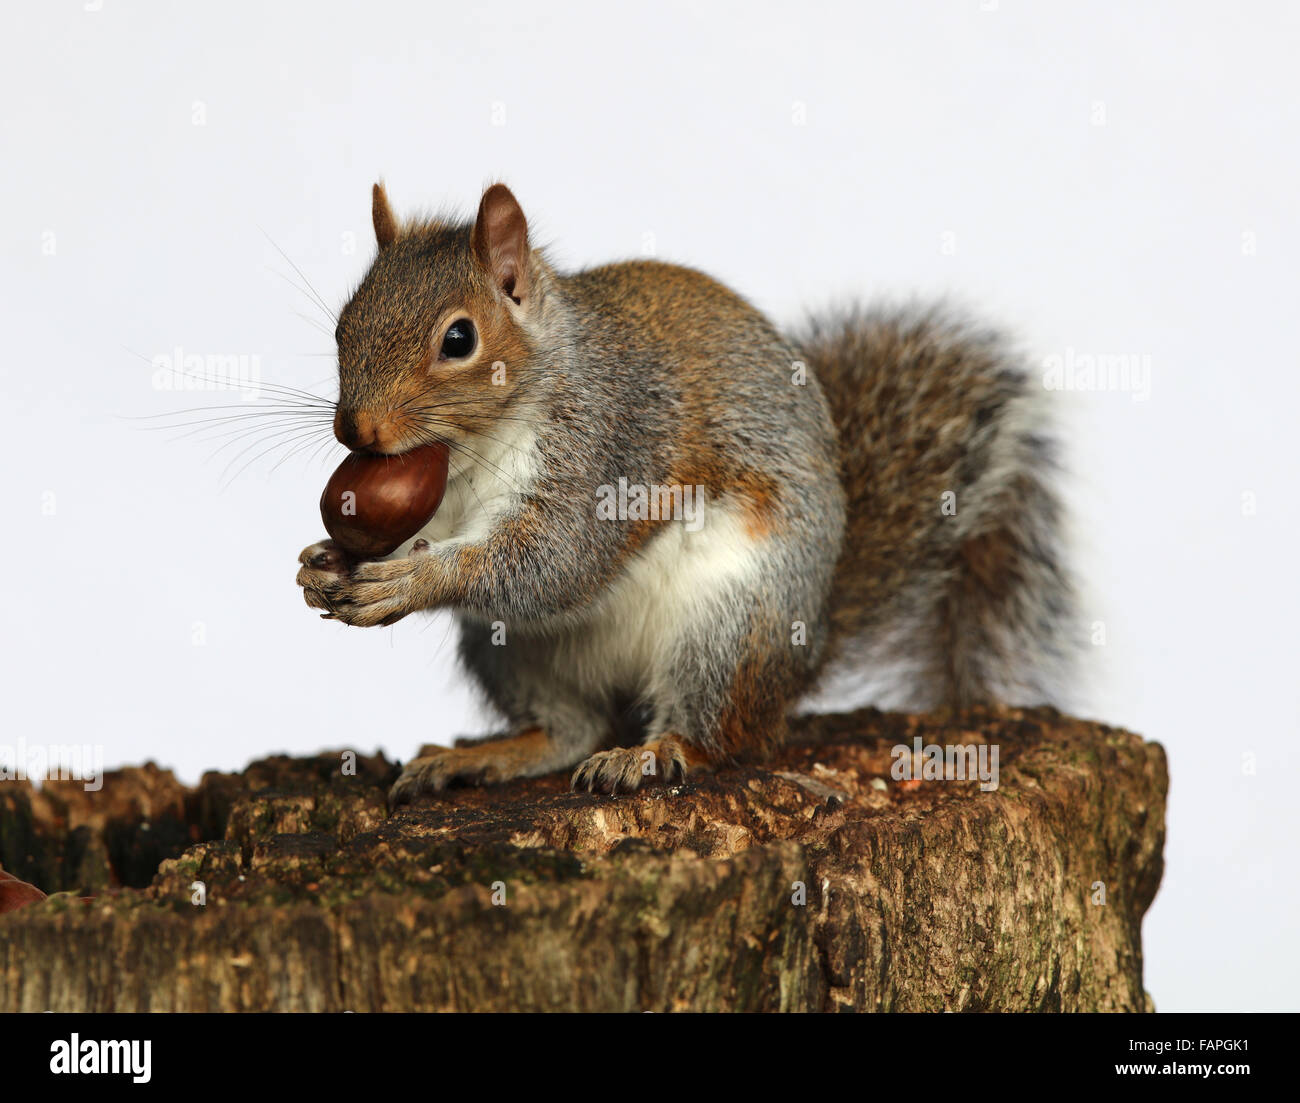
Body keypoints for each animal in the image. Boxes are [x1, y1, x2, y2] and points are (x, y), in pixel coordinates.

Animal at [297, 178, 1076, 801]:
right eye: (343, 325)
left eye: (459, 339)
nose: (355, 428)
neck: (470, 450)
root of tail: (808, 652)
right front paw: (322, 565)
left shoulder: (612, 448)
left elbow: (557, 560)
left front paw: (414, 580)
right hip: (509, 651)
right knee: (572, 729)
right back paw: (491, 755)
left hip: (730, 622)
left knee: (716, 735)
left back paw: (652, 753)